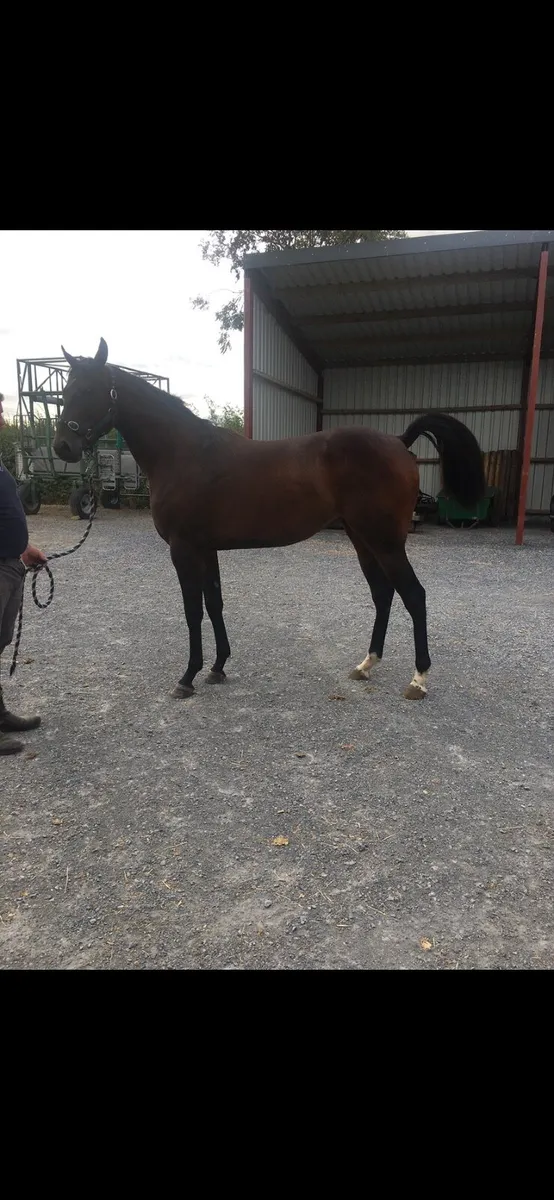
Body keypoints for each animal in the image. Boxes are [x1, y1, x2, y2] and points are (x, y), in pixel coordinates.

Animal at [53, 339, 485, 702]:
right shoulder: (206, 548)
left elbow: (193, 611)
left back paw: (418, 679)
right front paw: (218, 667)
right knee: (383, 594)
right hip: (362, 538)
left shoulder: (184, 549)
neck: (183, 453)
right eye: (63, 393)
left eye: (88, 391)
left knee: (414, 596)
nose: (63, 446)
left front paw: (187, 677)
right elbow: (215, 604)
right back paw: (366, 665)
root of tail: (398, 441)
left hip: (385, 540)